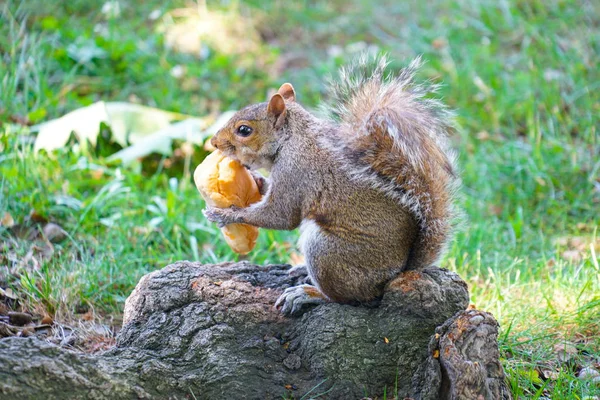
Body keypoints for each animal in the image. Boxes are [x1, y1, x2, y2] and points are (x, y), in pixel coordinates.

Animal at [204, 54, 458, 316]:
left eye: (244, 130)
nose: (214, 142)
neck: (292, 138)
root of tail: (398, 271)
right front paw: (258, 181)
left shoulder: (296, 173)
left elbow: (281, 216)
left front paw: (225, 215)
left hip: (328, 252)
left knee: (346, 298)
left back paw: (309, 293)